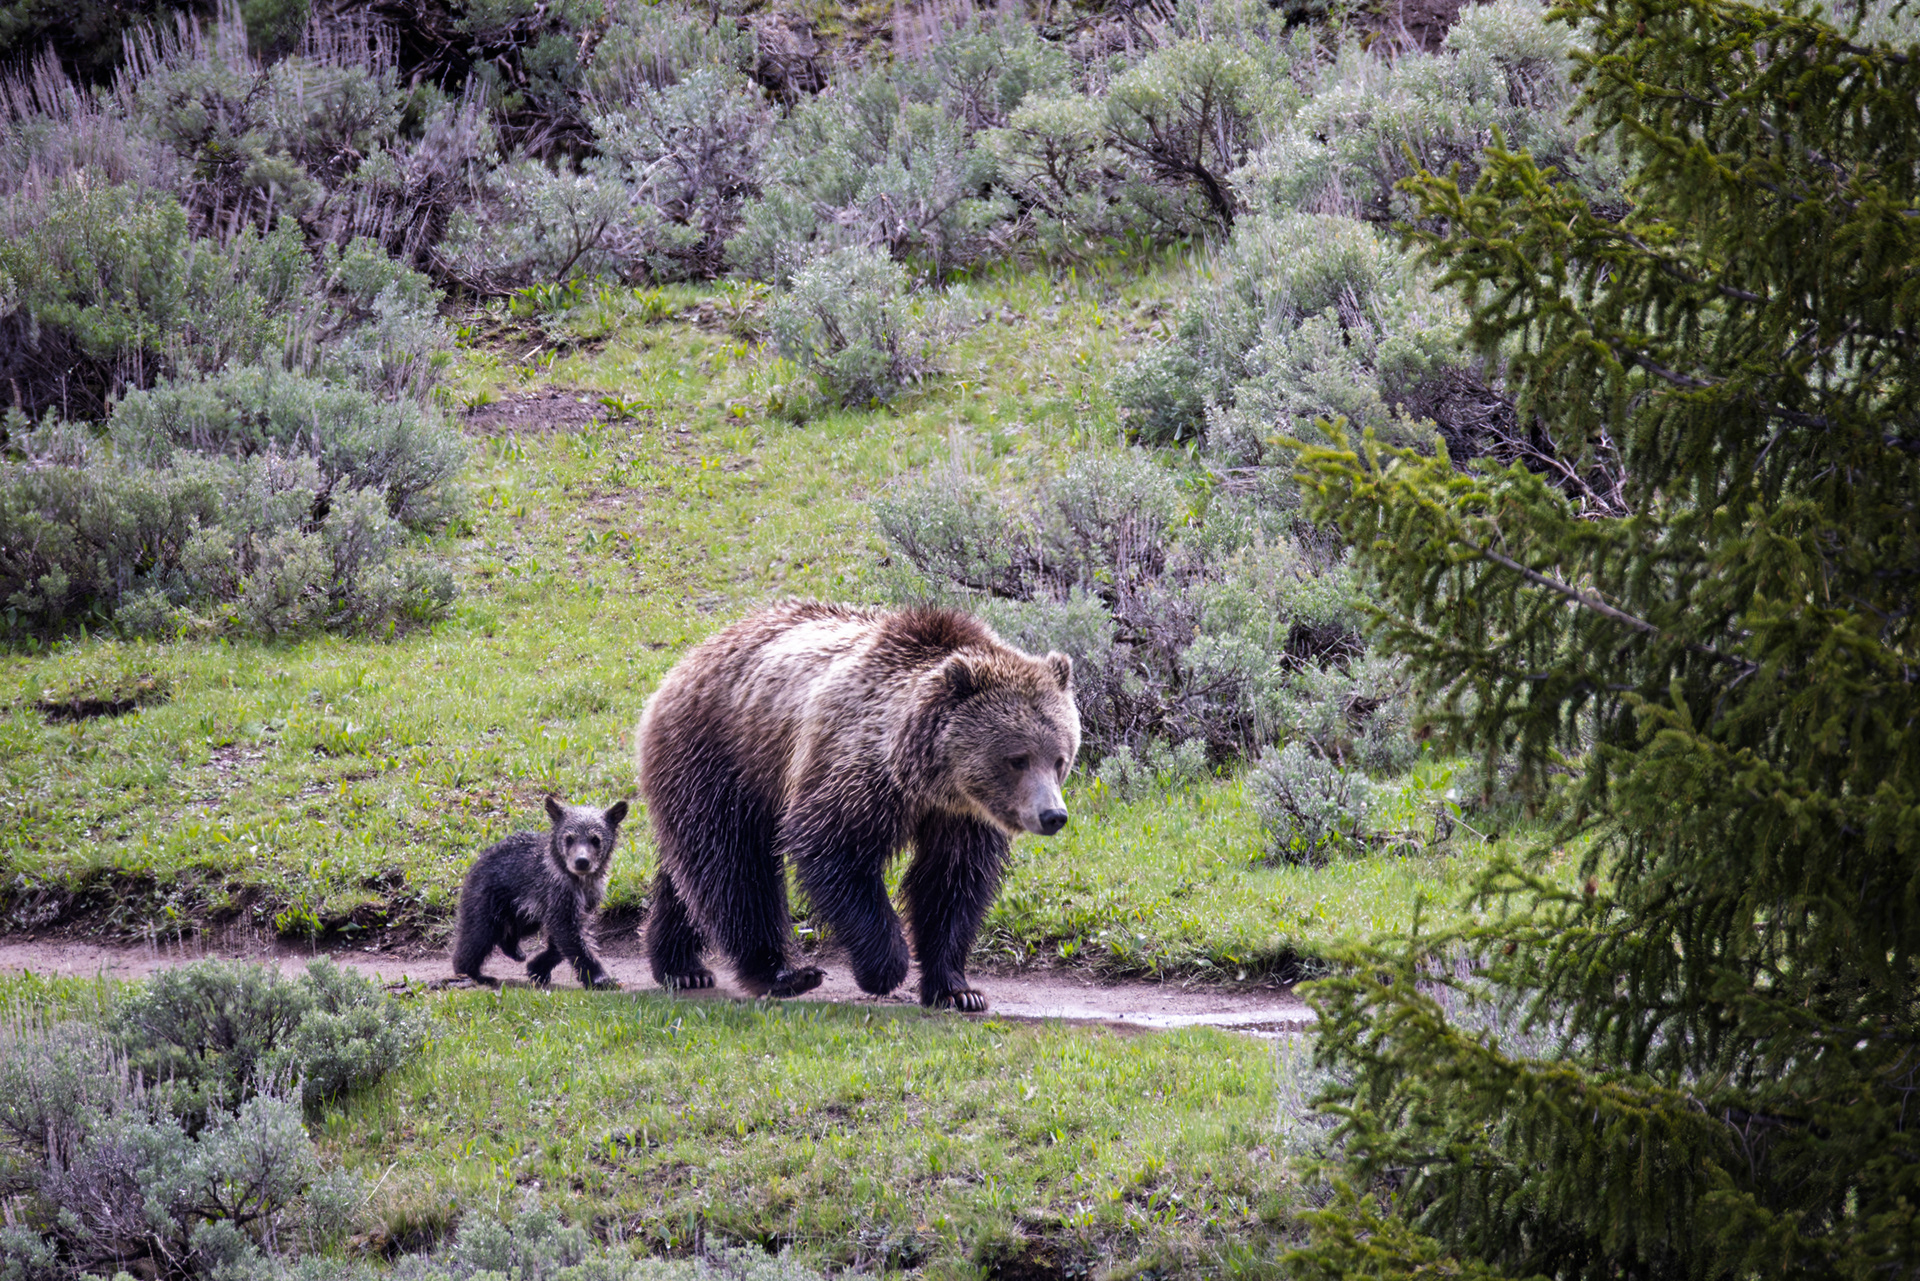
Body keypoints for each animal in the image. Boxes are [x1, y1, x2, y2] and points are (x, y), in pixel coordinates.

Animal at [451, 795, 629, 989]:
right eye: (569, 838)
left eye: (595, 839)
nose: (581, 862)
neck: (580, 881)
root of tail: (478, 858)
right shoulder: (558, 891)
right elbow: (568, 933)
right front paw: (601, 978)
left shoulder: (586, 898)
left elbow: (566, 936)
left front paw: (538, 968)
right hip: (489, 895)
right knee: (478, 933)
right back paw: (471, 973)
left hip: (522, 906)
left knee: (516, 926)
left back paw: (514, 950)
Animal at [635, 600, 1080, 1011]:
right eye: (1017, 759)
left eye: (1059, 759)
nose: (1053, 815)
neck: (929, 779)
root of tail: (686, 662)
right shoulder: (857, 771)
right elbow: (833, 851)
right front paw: (885, 966)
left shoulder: (960, 818)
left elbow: (952, 883)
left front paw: (958, 989)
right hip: (725, 754)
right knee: (734, 865)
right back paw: (783, 973)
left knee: (695, 870)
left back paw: (680, 964)